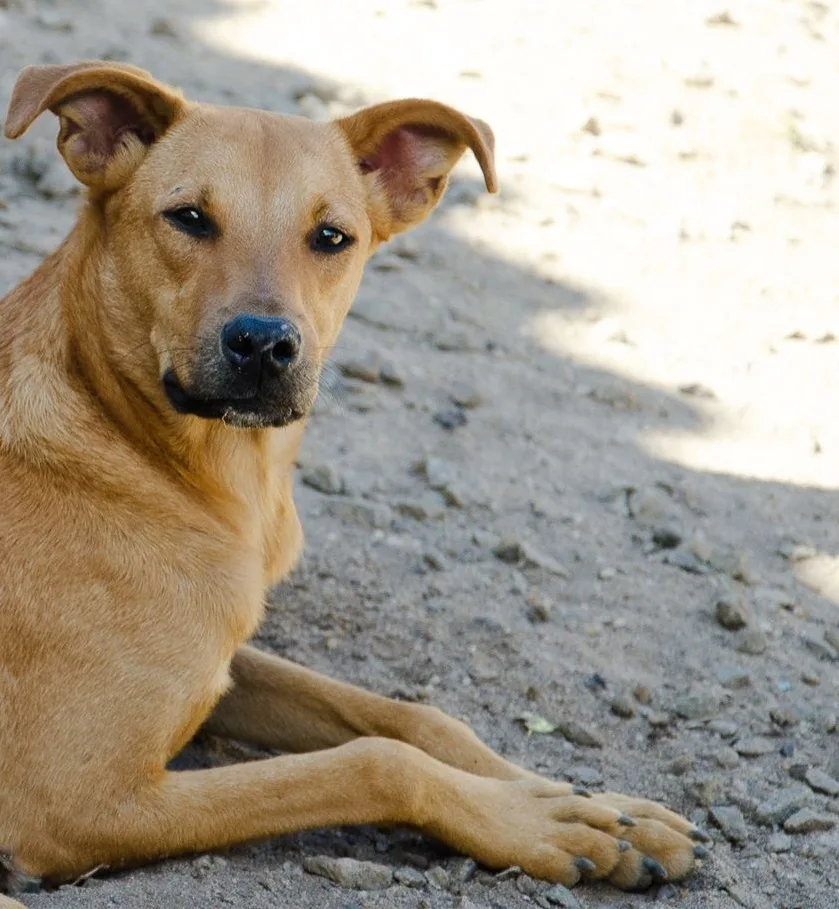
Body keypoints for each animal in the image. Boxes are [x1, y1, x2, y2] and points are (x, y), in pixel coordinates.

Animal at [0, 62, 708, 900]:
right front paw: (536, 821)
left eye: (331, 237)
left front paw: (585, 803)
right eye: (189, 218)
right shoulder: (73, 803)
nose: (263, 344)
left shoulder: (225, 660)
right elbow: (380, 761)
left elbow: (414, 717)